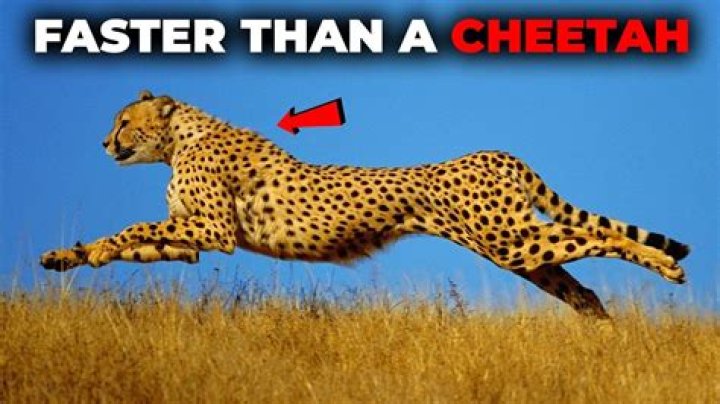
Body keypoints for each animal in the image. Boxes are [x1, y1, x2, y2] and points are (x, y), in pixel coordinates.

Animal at [40, 90, 690, 318]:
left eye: (124, 121)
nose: (105, 143)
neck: (181, 138)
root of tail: (496, 152)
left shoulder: (213, 229)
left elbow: (134, 227)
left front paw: (88, 251)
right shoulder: (194, 238)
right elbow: (136, 243)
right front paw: (72, 257)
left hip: (509, 241)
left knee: (605, 237)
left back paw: (666, 267)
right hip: (517, 252)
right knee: (581, 288)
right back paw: (605, 333)